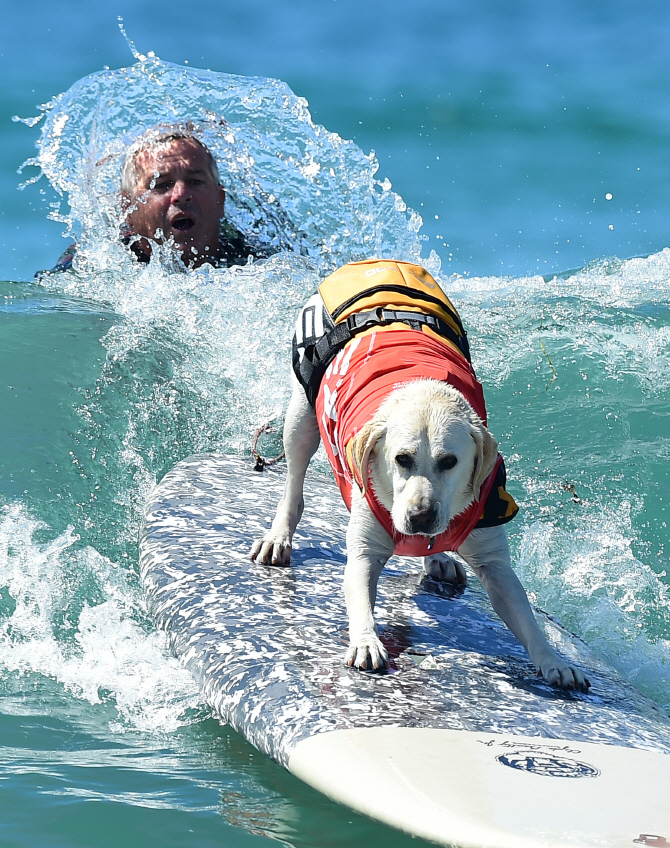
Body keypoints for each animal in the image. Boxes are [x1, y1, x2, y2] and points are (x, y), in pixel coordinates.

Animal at [252, 262, 588, 692]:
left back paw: (438, 557)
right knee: (294, 480)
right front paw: (366, 640)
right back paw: (279, 536)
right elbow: (360, 586)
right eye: (401, 459)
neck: (423, 390)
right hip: (301, 416)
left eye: (450, 461)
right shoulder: (365, 546)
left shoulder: (493, 555)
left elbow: (522, 610)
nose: (421, 517)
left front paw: (553, 661)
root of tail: (368, 264)